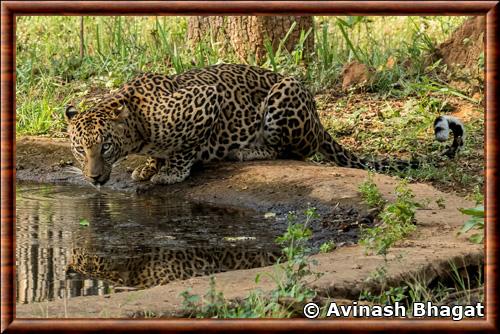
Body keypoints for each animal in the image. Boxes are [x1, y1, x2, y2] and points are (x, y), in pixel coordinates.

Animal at [65, 62, 418, 185]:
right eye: (80, 150)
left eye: (105, 147)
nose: (94, 178)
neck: (138, 124)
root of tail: (319, 121)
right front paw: (149, 166)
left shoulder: (206, 97)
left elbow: (185, 148)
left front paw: (171, 172)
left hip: (284, 93)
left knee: (290, 152)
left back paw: (247, 152)